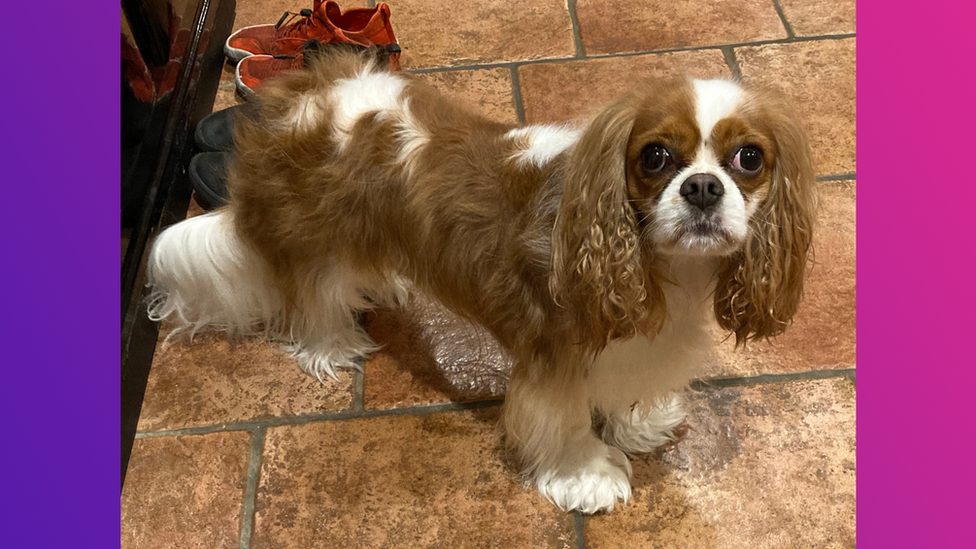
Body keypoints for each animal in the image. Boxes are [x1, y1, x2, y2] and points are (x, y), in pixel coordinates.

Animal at [145, 50, 816, 512]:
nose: (702, 187)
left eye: (749, 158)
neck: (654, 264)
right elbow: (563, 420)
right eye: (654, 157)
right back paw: (332, 345)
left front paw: (636, 423)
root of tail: (291, 99)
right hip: (313, 242)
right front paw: (586, 475)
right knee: (310, 300)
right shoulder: (553, 359)